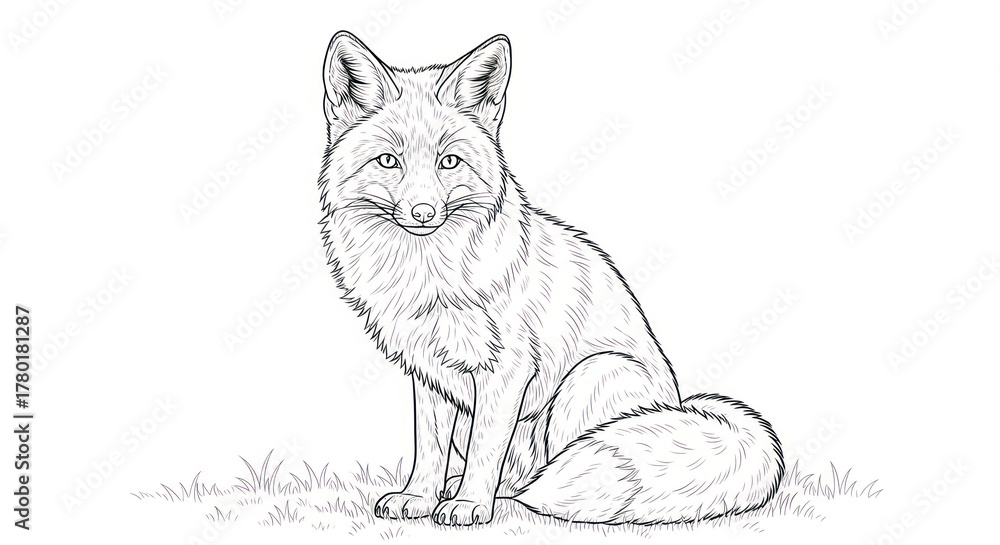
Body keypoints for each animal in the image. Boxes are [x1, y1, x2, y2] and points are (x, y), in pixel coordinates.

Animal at [317, 31, 784, 526]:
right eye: (388, 161)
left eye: (450, 162)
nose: (423, 213)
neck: (429, 276)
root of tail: (679, 406)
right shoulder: (429, 375)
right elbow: (428, 448)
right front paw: (419, 499)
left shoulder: (507, 370)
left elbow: (485, 451)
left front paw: (468, 505)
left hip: (590, 380)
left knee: (556, 476)